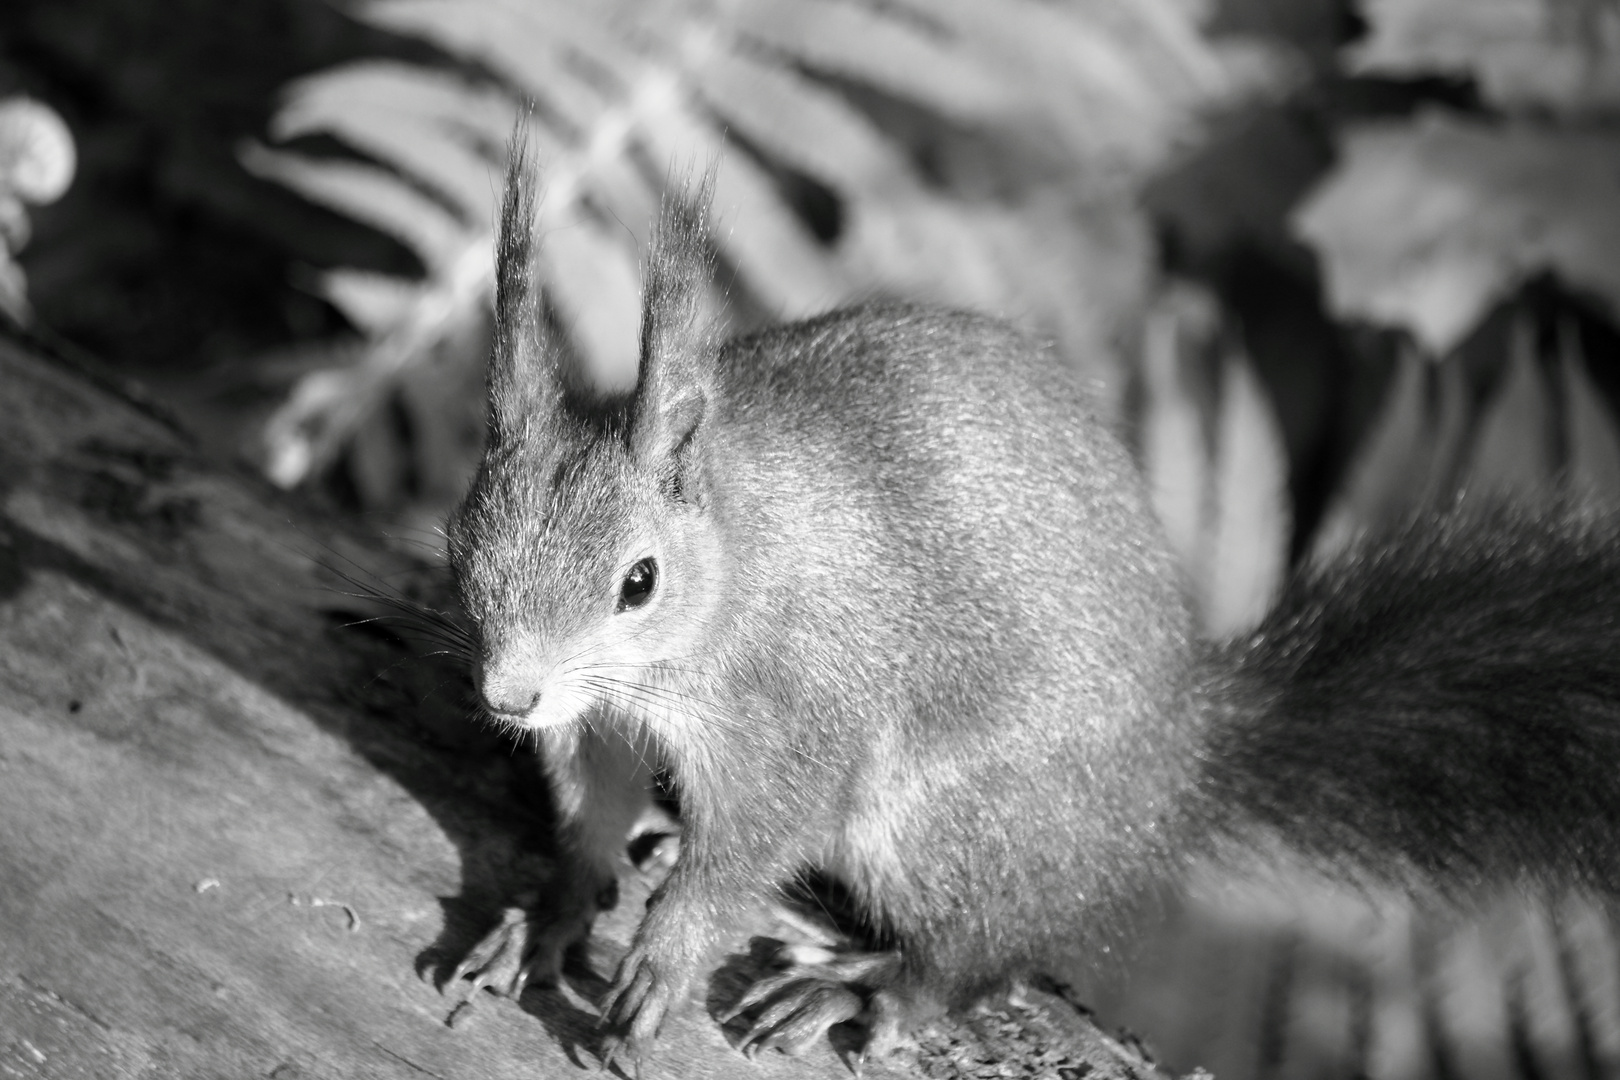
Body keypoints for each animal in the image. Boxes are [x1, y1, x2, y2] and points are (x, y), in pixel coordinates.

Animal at [440, 139, 1620, 1068]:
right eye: (464, 533)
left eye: (638, 581)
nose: (509, 695)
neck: (730, 571)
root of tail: (1179, 762)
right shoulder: (596, 727)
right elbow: (590, 816)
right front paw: (552, 913)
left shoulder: (793, 715)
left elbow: (747, 848)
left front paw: (663, 959)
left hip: (950, 822)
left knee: (980, 958)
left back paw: (864, 986)